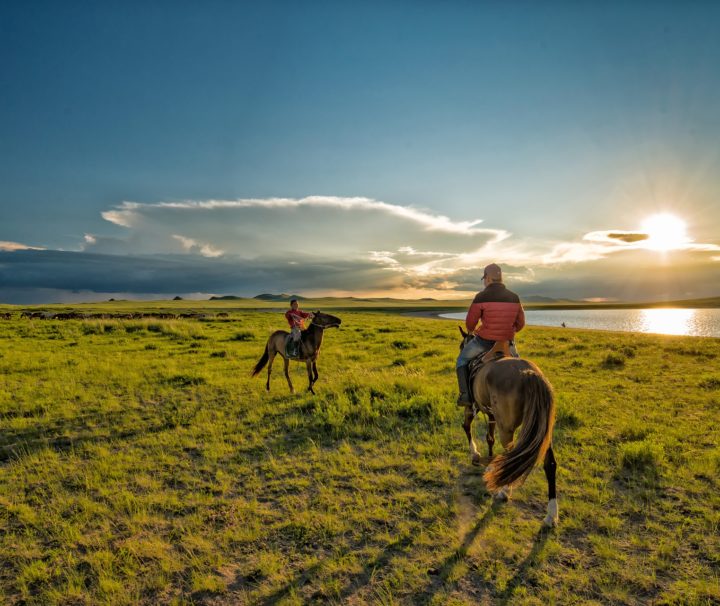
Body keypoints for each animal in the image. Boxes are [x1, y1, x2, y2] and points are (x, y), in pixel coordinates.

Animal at [462, 328, 556, 528]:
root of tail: (530, 374)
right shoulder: (491, 414)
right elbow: (490, 438)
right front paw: (490, 464)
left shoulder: (471, 406)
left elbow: (467, 427)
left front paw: (475, 454)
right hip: (544, 433)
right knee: (550, 463)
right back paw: (551, 514)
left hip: (507, 429)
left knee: (513, 457)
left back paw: (504, 492)